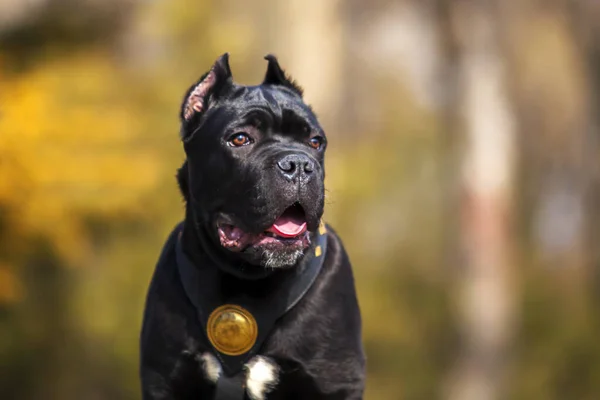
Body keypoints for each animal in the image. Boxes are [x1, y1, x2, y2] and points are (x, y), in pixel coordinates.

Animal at [141, 54, 366, 400]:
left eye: (315, 141)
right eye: (240, 139)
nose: (298, 165)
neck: (247, 281)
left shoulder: (335, 383)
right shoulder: (164, 381)